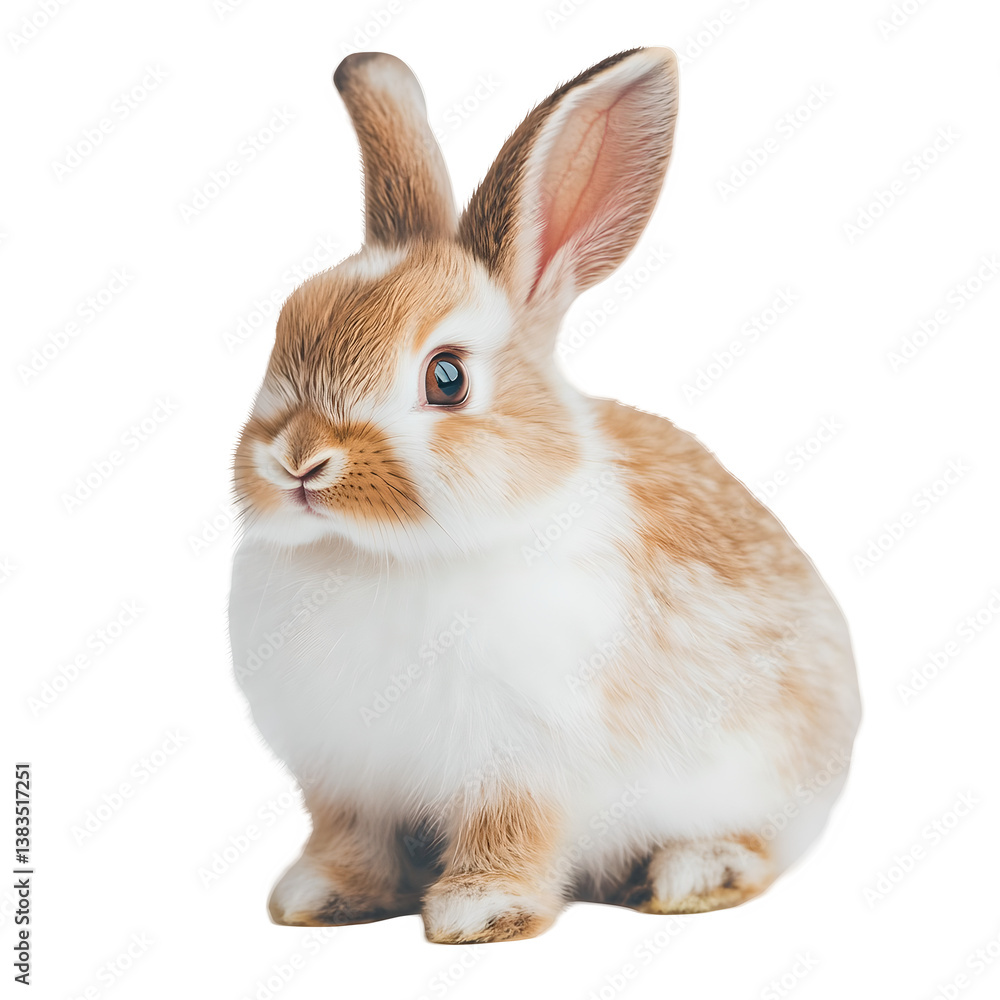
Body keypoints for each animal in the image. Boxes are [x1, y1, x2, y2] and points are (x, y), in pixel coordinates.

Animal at [228, 47, 861, 944]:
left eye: (447, 378)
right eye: (284, 329)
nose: (298, 460)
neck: (383, 556)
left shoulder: (523, 767)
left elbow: (512, 833)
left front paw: (478, 912)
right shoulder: (347, 780)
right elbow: (351, 842)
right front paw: (316, 898)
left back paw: (696, 873)